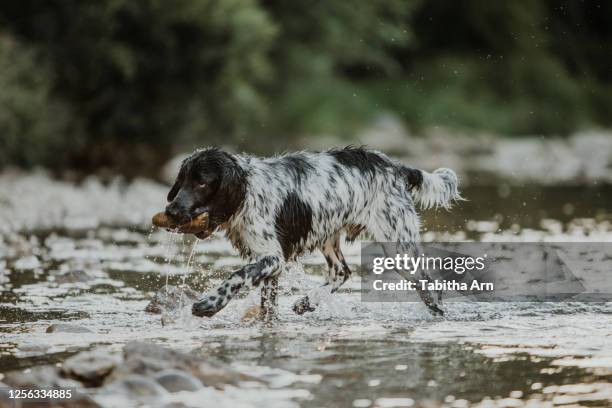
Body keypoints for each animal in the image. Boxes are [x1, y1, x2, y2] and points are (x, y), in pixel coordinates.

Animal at [163, 147, 460, 318]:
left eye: (202, 182)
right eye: (182, 180)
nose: (172, 212)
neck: (247, 191)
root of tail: (396, 167)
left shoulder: (273, 258)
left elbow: (238, 275)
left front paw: (210, 303)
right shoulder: (271, 263)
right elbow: (267, 308)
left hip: (398, 246)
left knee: (430, 285)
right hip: (328, 236)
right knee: (342, 272)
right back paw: (308, 302)